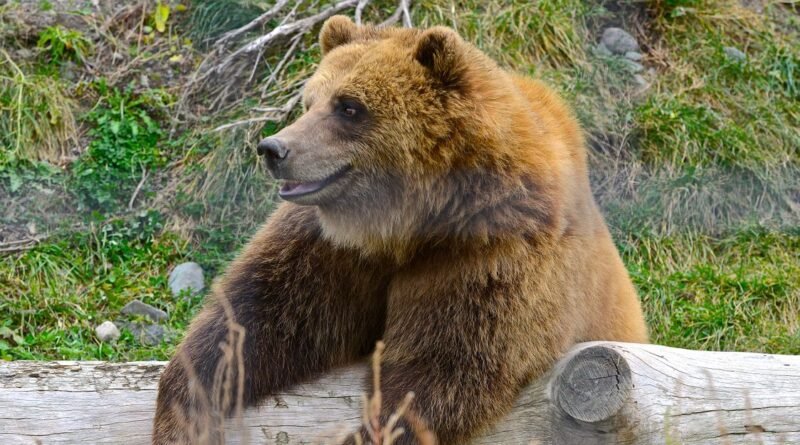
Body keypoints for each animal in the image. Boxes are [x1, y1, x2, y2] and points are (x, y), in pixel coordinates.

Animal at [153, 15, 648, 445]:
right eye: (310, 101)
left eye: (349, 106)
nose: (274, 148)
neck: (410, 224)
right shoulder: (333, 245)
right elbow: (261, 316)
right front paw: (187, 412)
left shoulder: (492, 253)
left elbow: (440, 371)